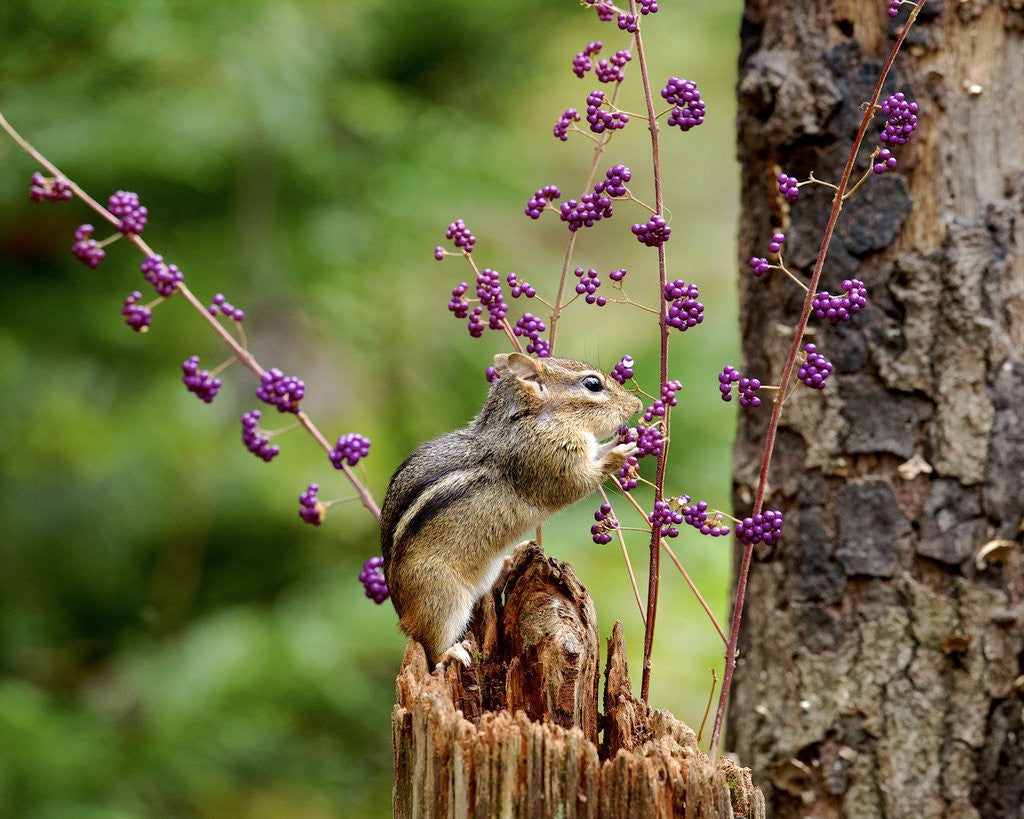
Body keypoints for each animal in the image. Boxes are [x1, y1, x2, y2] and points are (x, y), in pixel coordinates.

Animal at [380, 352, 642, 669]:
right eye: (592, 384)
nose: (637, 404)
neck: (530, 421)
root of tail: (402, 614)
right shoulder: (551, 464)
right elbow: (580, 481)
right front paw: (620, 452)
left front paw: (622, 440)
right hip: (442, 598)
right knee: (431, 646)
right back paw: (451, 652)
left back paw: (512, 559)